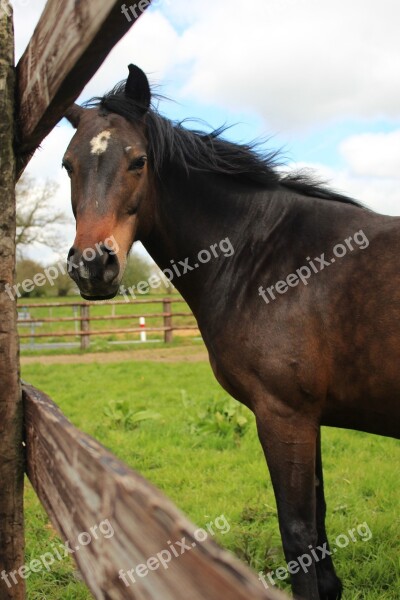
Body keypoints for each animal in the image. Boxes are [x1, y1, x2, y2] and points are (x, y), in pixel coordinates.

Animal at [62, 64, 400, 600]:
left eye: (138, 161)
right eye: (67, 165)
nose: (92, 266)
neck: (263, 257)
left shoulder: (284, 415)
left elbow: (299, 535)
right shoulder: (309, 418)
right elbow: (319, 528)